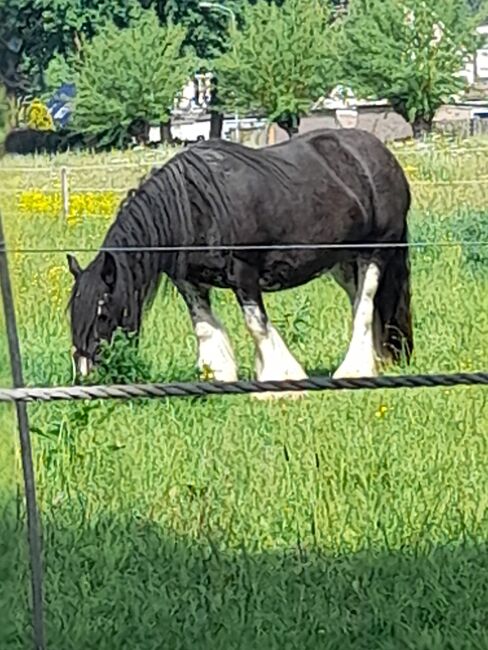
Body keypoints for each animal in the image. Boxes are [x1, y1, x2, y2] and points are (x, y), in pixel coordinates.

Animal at [66, 129, 414, 388]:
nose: (86, 376)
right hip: (343, 263)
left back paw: (354, 369)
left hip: (375, 251)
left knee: (366, 304)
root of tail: (381, 156)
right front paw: (217, 374)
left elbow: (255, 323)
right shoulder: (190, 281)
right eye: (73, 314)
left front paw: (281, 376)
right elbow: (204, 326)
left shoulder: (244, 273)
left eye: (102, 312)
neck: (194, 205)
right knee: (362, 304)